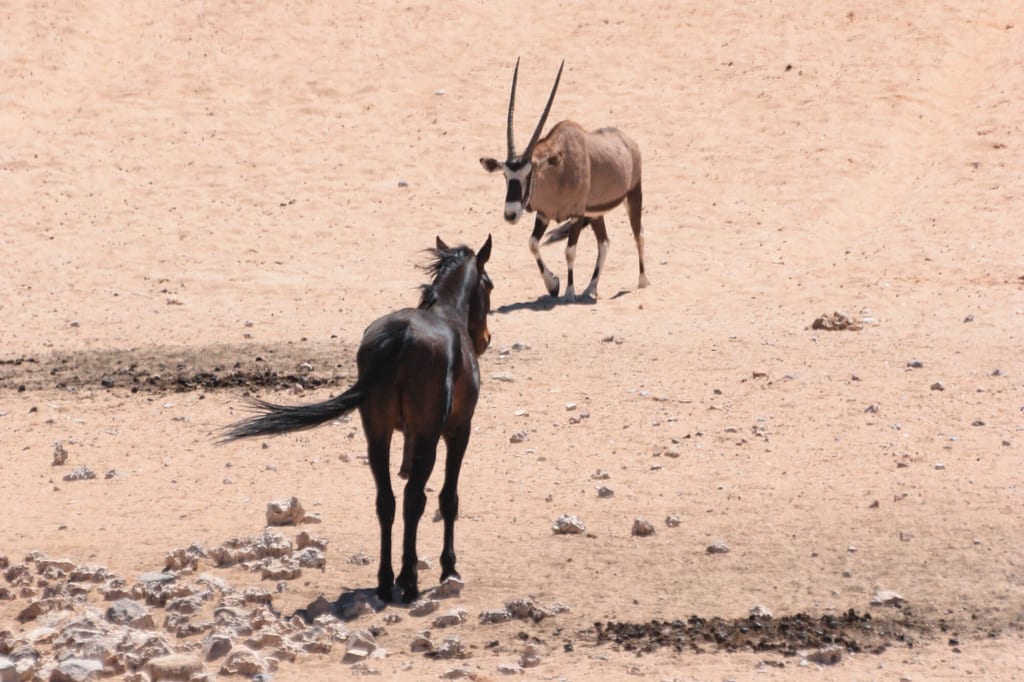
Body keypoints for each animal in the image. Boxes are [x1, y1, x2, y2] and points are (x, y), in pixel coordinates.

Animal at [220, 235, 493, 603]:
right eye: (489, 285)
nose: (485, 340)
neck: (446, 311)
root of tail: (402, 335)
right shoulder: (457, 431)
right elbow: (448, 499)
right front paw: (449, 568)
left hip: (376, 434)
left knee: (386, 502)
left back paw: (385, 580)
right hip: (425, 437)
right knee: (412, 500)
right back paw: (407, 581)